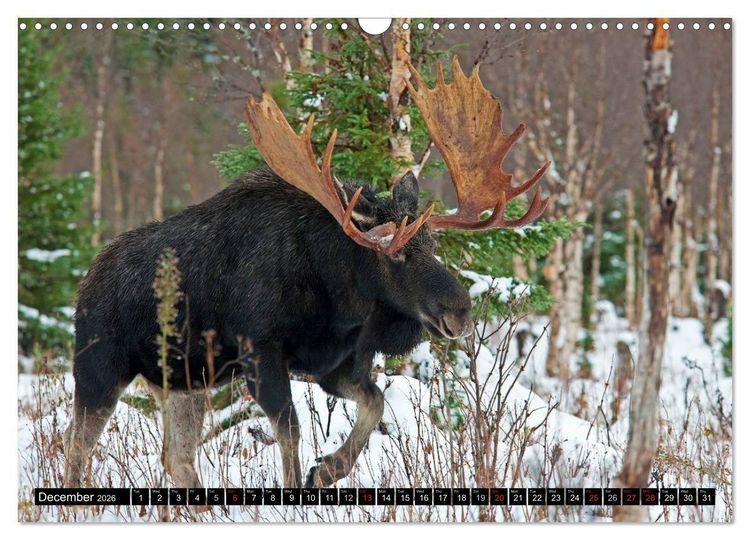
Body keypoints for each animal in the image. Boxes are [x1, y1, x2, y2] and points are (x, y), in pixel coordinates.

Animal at [63, 56, 549, 490]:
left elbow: (375, 403)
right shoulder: (260, 353)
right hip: (99, 369)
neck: (338, 297)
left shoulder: (336, 363)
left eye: (432, 245)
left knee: (176, 458)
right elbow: (291, 430)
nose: (460, 312)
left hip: (184, 382)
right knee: (76, 447)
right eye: (394, 255)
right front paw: (302, 484)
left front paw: (328, 470)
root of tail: (84, 286)